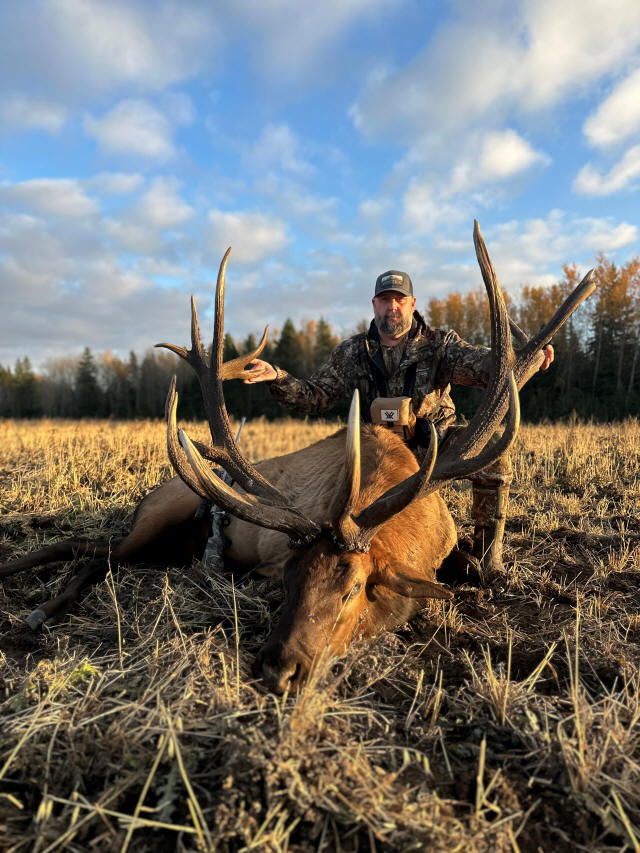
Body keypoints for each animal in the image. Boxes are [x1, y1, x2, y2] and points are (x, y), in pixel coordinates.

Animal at [0, 222, 595, 693]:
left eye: (353, 587)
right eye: (288, 578)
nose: (277, 669)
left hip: (167, 546)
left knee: (93, 550)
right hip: (162, 515)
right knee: (91, 550)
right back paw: (33, 606)